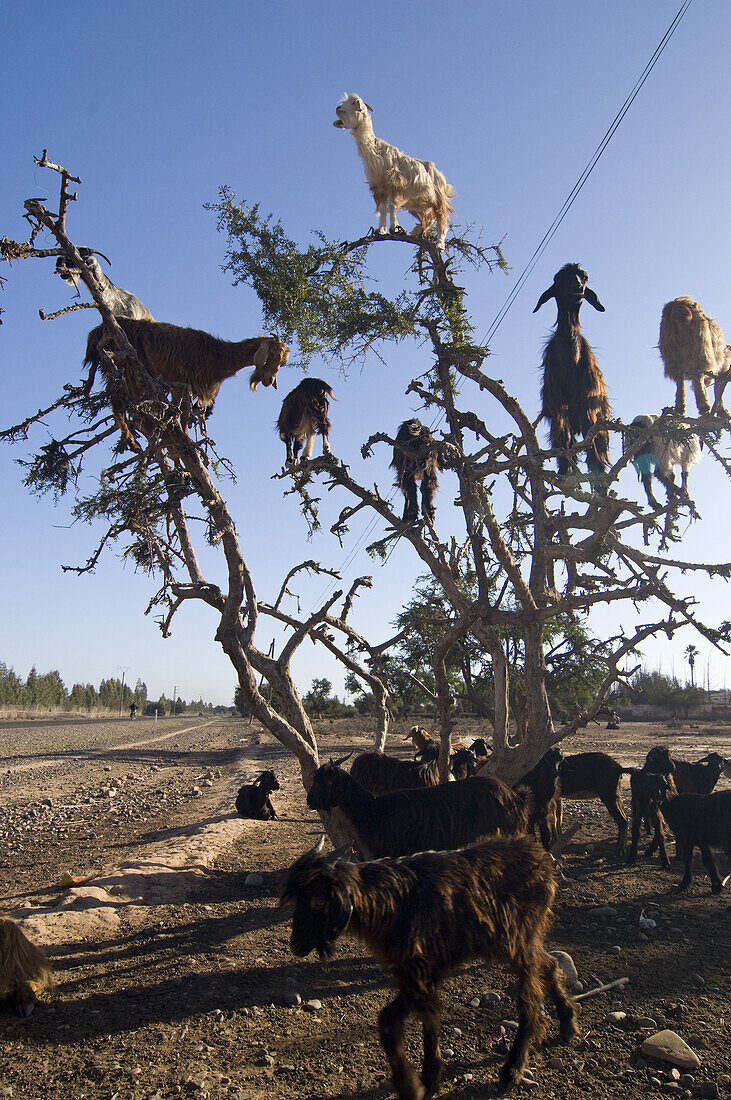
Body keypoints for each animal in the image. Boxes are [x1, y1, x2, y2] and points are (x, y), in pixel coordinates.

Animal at [84, 319, 290, 451]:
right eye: (272, 356)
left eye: (282, 363)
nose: (269, 381)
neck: (217, 357)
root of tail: (97, 331)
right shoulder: (181, 381)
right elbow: (181, 413)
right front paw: (186, 440)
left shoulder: (186, 387)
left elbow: (180, 412)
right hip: (124, 367)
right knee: (117, 401)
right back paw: (132, 441)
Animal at [279, 831, 576, 1091]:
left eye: (318, 900)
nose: (296, 945)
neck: (389, 903)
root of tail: (541, 857)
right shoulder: (419, 974)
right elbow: (424, 1019)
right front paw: (429, 1075)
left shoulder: (420, 972)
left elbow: (394, 1020)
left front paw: (417, 1081)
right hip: (512, 942)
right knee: (550, 964)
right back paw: (568, 1024)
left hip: (520, 939)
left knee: (530, 1001)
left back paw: (512, 1069)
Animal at [331, 92, 457, 249]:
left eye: (354, 102)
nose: (338, 108)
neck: (375, 151)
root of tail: (442, 179)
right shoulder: (379, 187)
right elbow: (382, 208)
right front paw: (381, 230)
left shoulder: (395, 184)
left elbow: (391, 206)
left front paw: (393, 228)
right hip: (418, 203)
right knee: (429, 218)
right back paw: (419, 232)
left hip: (438, 199)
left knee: (442, 218)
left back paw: (439, 243)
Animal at [529, 261, 611, 486]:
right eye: (559, 278)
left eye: (584, 277)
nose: (578, 288)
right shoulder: (558, 409)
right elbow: (563, 443)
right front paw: (566, 473)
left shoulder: (590, 409)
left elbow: (594, 451)